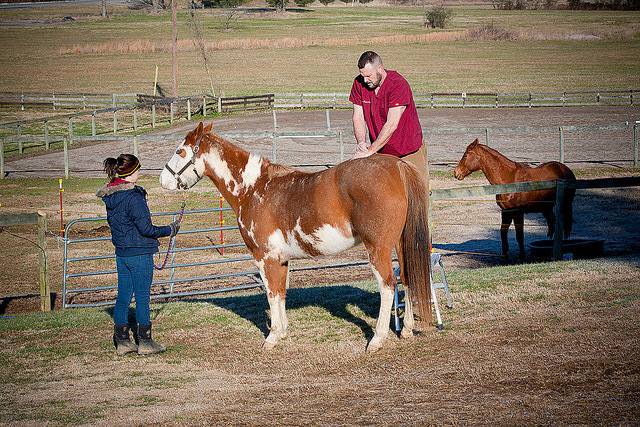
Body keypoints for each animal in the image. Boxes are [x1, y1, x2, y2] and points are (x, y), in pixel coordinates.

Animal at [158, 122, 432, 352]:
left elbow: (271, 293)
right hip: (400, 243)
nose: (163, 180)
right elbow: (280, 292)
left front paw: (272, 337)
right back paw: (407, 329)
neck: (254, 188)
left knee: (388, 285)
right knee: (408, 277)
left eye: (180, 151)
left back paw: (377, 339)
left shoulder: (264, 257)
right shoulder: (281, 259)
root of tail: (397, 167)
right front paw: (282, 332)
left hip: (378, 247)